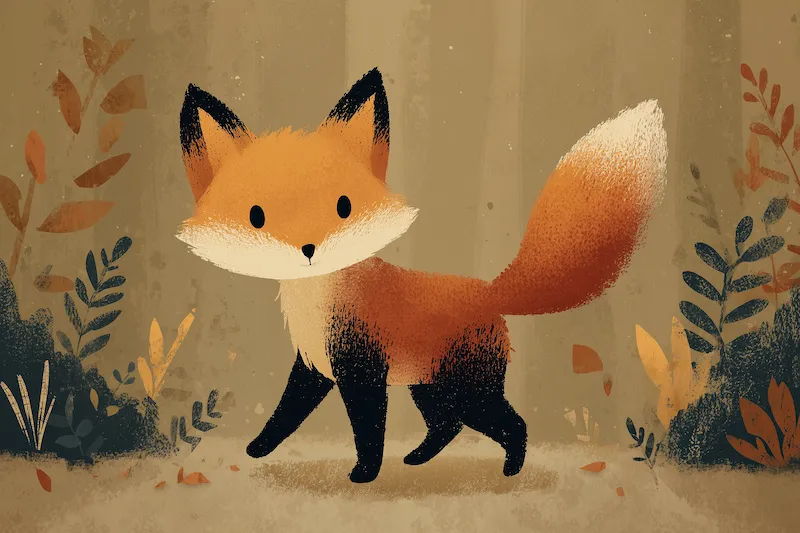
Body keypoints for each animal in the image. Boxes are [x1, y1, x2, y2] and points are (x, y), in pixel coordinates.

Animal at [176, 68, 667, 483]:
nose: (309, 250)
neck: (317, 303)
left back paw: (512, 470)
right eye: (256, 215)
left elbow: (368, 431)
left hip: (468, 392)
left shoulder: (362, 371)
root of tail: (491, 291)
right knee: (447, 427)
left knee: (513, 423)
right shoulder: (314, 367)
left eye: (343, 206)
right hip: (429, 388)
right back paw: (418, 458)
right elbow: (284, 416)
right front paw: (257, 448)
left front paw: (364, 474)